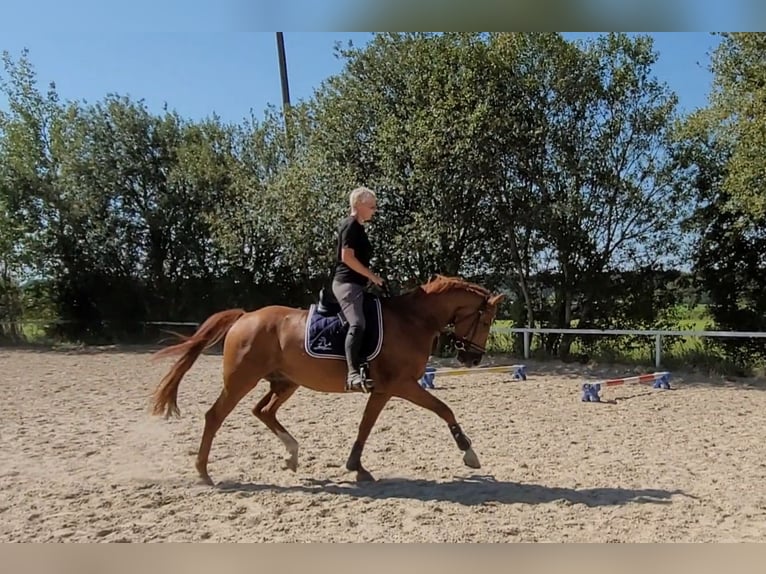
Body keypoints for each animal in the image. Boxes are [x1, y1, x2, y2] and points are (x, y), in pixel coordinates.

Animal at [152, 274, 508, 486]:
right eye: (486, 320)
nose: (473, 360)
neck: (413, 320)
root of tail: (245, 317)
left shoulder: (383, 390)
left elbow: (366, 425)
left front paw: (356, 466)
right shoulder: (401, 385)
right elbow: (444, 409)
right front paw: (469, 453)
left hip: (285, 382)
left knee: (263, 411)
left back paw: (292, 455)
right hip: (242, 380)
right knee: (215, 416)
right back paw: (203, 472)